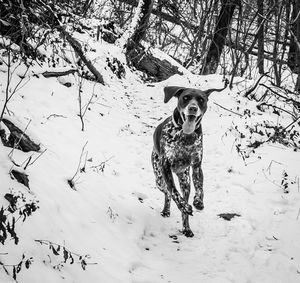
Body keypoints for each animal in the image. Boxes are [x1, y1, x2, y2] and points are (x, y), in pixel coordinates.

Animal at [151, 82, 226, 237]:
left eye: (201, 100)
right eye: (185, 97)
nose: (193, 108)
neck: (185, 136)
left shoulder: (197, 166)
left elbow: (200, 187)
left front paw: (198, 202)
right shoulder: (165, 166)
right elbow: (173, 192)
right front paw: (183, 205)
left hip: (185, 181)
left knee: (181, 196)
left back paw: (186, 228)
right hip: (159, 179)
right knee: (167, 192)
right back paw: (169, 210)